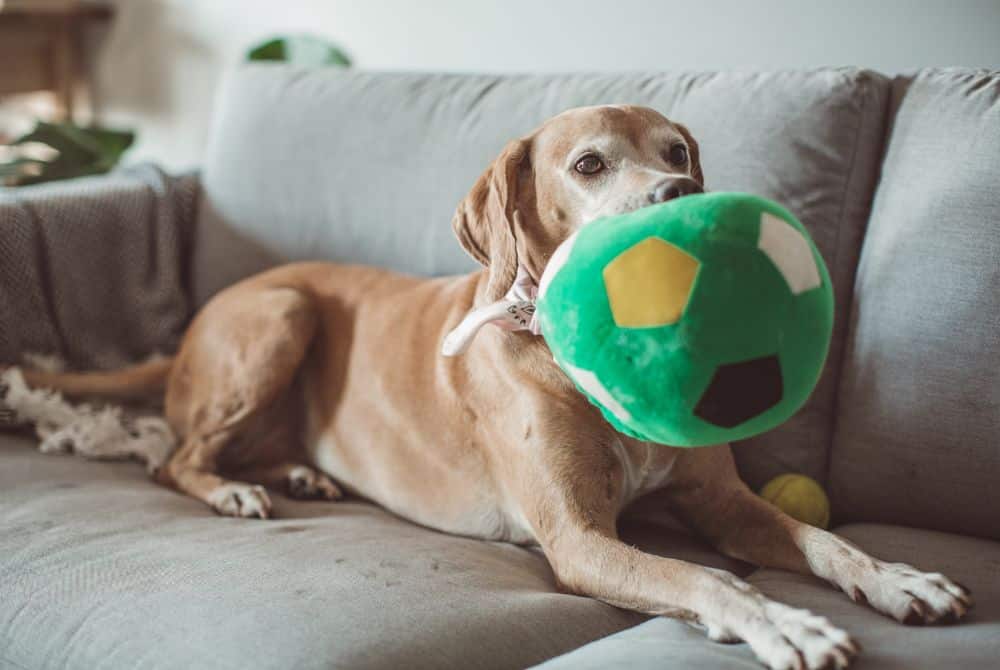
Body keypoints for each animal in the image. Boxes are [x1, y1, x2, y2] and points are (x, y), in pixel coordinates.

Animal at [23, 106, 972, 670]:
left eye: (678, 152)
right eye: (589, 165)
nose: (680, 193)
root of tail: (191, 329)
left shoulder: (722, 503)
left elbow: (823, 541)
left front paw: (898, 578)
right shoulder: (580, 541)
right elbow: (715, 582)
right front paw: (788, 624)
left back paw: (294, 473)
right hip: (281, 314)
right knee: (173, 458)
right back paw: (232, 489)